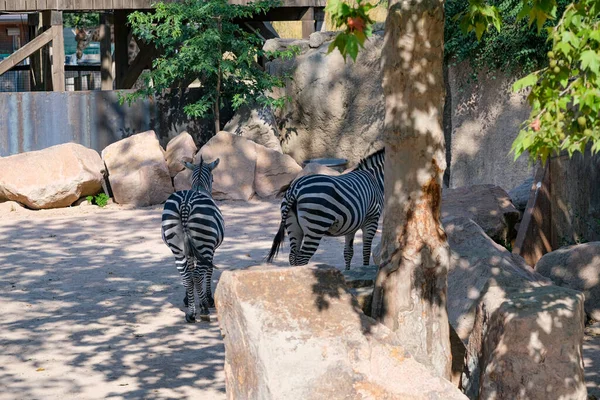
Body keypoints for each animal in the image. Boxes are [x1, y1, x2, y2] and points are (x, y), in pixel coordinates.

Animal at [161, 156, 224, 322]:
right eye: (213, 179)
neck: (198, 186)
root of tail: (185, 203)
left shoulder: (189, 250)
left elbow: (189, 269)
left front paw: (187, 299)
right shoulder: (212, 249)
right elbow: (208, 271)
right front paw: (208, 299)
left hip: (177, 248)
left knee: (186, 275)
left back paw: (190, 313)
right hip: (205, 243)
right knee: (196, 275)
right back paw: (203, 309)